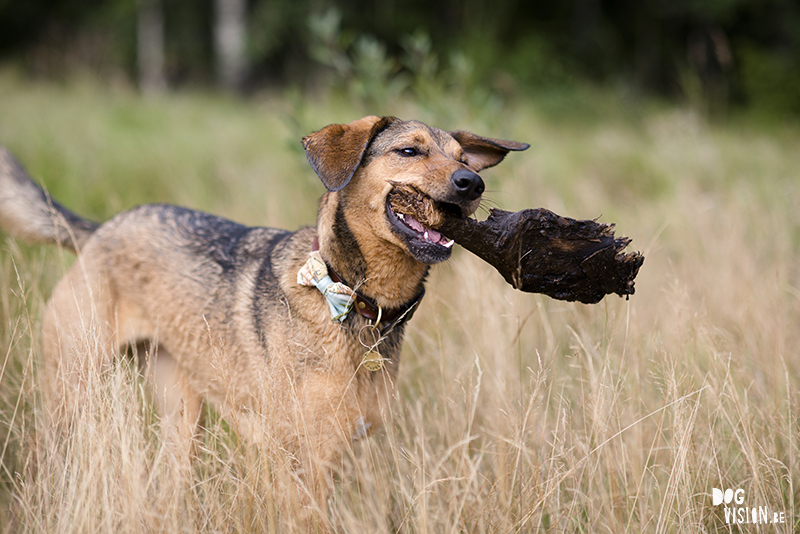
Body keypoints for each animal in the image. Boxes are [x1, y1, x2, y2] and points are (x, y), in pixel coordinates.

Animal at [0, 116, 528, 498]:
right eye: (409, 151)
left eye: (463, 159)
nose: (472, 184)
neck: (357, 301)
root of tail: (102, 229)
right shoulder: (303, 461)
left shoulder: (349, 453)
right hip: (70, 390)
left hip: (181, 412)